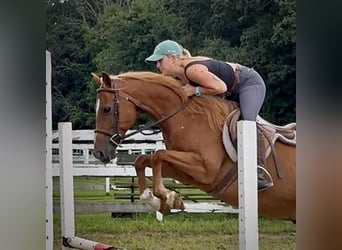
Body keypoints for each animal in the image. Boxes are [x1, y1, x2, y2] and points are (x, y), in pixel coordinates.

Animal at [91, 71, 296, 221]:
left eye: (106, 109)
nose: (99, 153)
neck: (186, 118)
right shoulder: (185, 173)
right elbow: (142, 160)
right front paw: (162, 202)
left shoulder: (206, 170)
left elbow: (158, 154)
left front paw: (169, 197)